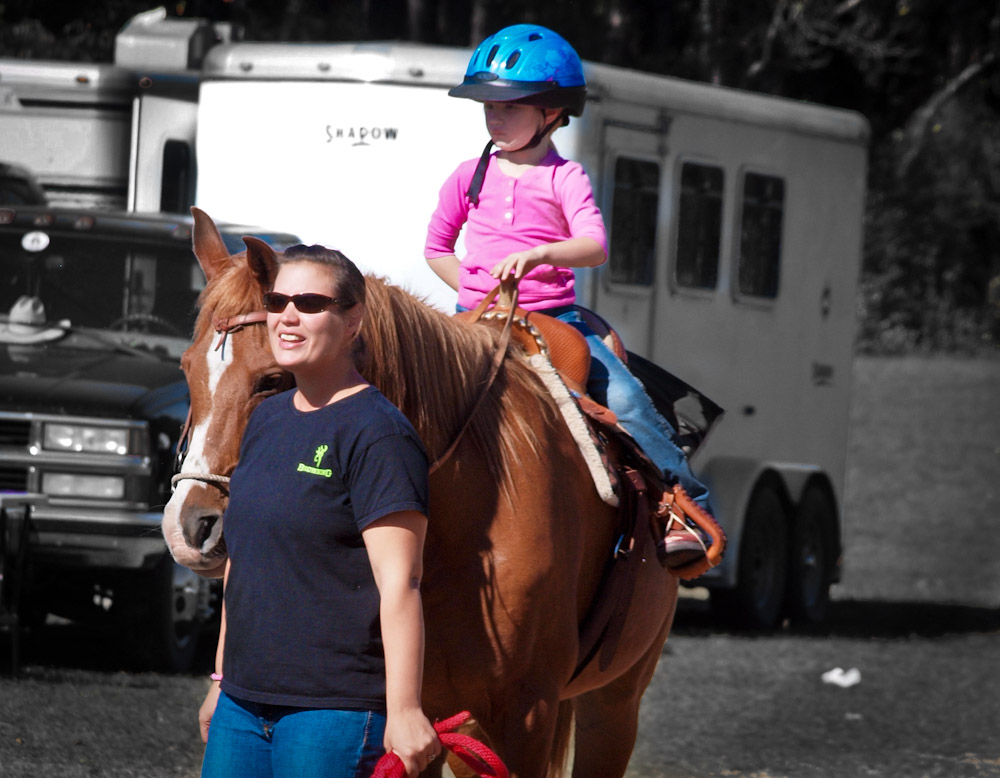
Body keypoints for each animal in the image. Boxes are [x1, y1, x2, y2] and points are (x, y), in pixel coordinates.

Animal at [162, 206, 680, 776]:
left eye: (273, 379)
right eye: (186, 368)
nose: (188, 527)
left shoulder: (527, 716)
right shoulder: (422, 718)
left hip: (613, 703)